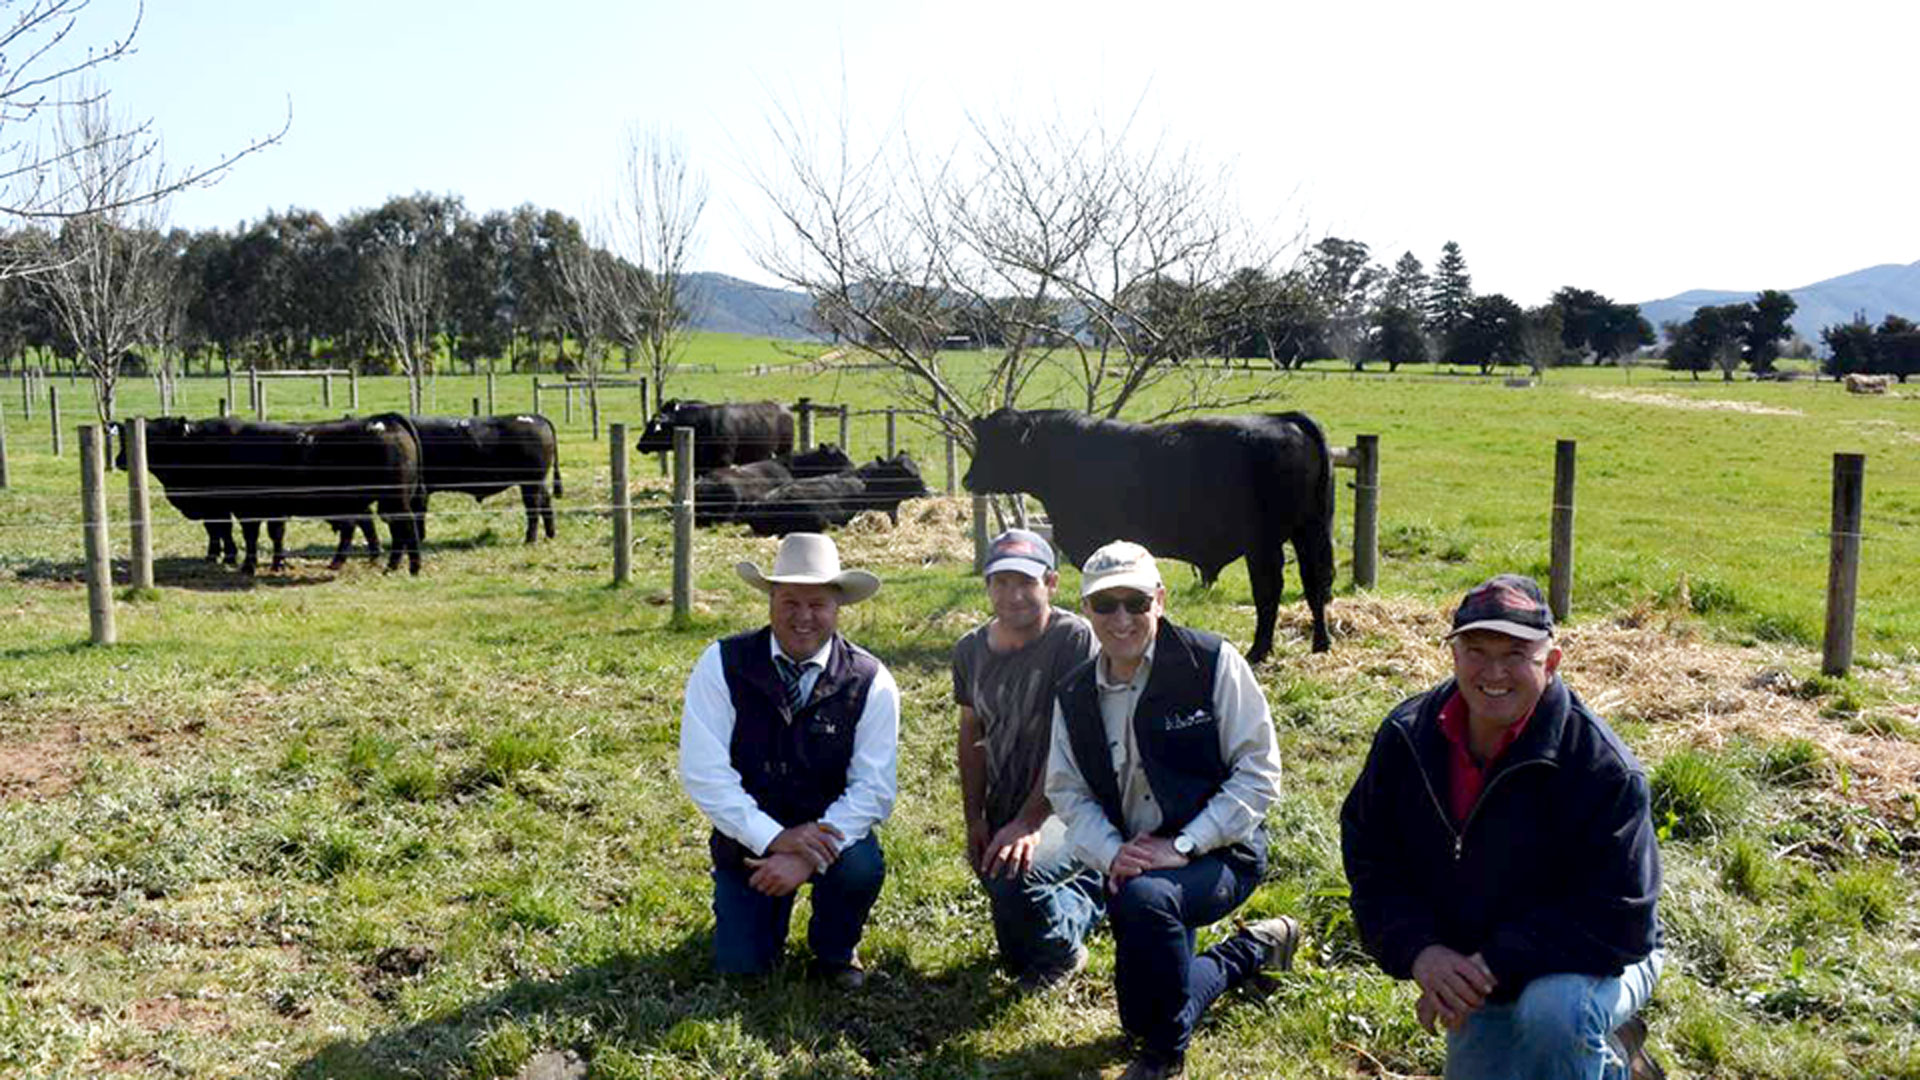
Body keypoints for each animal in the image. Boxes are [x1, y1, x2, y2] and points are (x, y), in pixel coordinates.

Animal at [405, 417, 556, 541]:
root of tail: (537, 417)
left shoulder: (420, 491)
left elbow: (417, 515)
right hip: (539, 481)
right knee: (546, 502)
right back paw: (549, 535)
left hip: (531, 482)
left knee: (533, 508)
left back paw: (530, 540)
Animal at [633, 397, 791, 468]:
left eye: (653, 426)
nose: (639, 445)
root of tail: (784, 408)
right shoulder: (698, 463)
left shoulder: (723, 460)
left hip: (785, 450)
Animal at [960, 403, 1336, 661]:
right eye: (983, 439)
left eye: (1002, 444)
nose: (968, 480)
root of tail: (1283, 418)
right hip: (1310, 529)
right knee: (1315, 583)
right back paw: (1320, 644)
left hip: (1264, 542)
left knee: (1270, 590)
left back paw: (1259, 651)